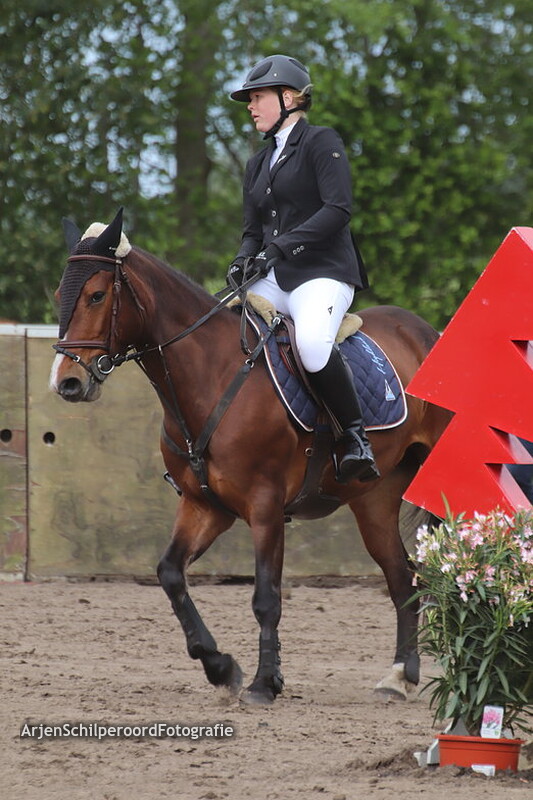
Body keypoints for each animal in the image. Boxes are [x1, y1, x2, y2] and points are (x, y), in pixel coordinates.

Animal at [49, 208, 451, 705]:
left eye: (97, 295)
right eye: (59, 295)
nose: (67, 382)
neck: (213, 374)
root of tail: (425, 331)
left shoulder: (265, 507)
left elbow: (266, 597)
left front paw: (264, 683)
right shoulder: (205, 506)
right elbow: (170, 573)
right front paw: (220, 666)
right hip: (374, 499)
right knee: (402, 577)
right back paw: (400, 676)